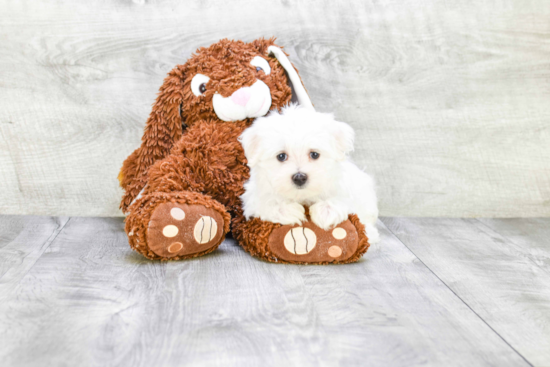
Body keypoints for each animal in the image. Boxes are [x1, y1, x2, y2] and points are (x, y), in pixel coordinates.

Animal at [239, 103, 382, 244]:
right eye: (281, 156)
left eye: (314, 154)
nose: (299, 177)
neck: (303, 196)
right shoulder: (253, 197)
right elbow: (265, 202)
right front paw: (287, 209)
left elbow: (343, 199)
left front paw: (326, 211)